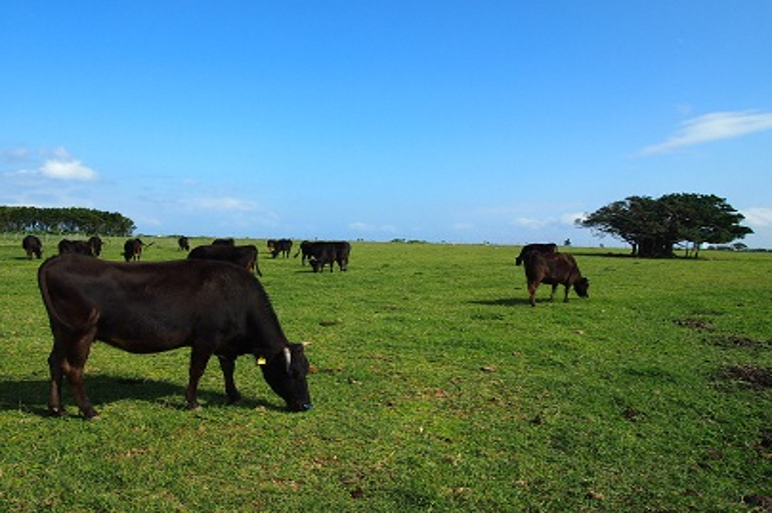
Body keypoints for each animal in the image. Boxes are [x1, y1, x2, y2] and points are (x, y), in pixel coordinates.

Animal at [36, 254, 312, 418]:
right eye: (293, 373)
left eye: (307, 370)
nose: (307, 405)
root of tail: (59, 258)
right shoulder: (205, 339)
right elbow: (196, 371)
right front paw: (192, 402)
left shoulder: (225, 345)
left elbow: (228, 369)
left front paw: (233, 395)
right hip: (82, 332)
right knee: (73, 369)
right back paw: (89, 411)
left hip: (61, 331)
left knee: (55, 363)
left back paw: (56, 407)